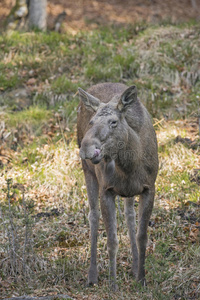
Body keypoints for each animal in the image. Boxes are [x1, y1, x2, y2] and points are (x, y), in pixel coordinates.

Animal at [77, 82, 159, 288]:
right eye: (91, 122)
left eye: (113, 122)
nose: (86, 147)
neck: (130, 167)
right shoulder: (106, 190)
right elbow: (112, 240)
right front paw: (112, 284)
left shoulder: (149, 188)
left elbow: (142, 236)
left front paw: (142, 279)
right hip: (88, 172)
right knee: (93, 215)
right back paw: (92, 275)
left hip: (128, 192)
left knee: (129, 215)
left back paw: (135, 266)